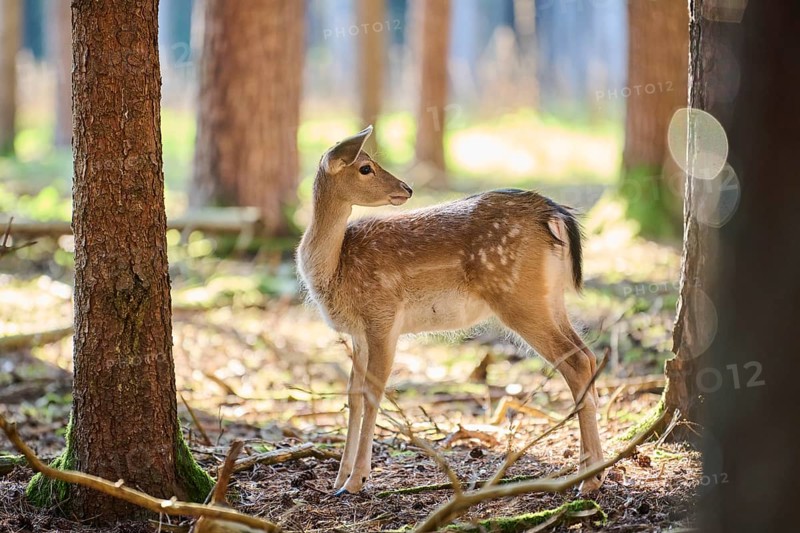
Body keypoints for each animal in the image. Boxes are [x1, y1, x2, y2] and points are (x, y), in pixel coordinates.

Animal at [297, 126, 605, 496]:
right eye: (365, 167)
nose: (407, 188)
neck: (335, 269)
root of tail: (555, 213)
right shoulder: (358, 332)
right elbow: (353, 396)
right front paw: (339, 479)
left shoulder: (382, 317)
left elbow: (373, 394)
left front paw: (357, 480)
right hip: (551, 298)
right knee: (588, 355)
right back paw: (596, 471)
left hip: (518, 297)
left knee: (575, 363)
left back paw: (589, 481)